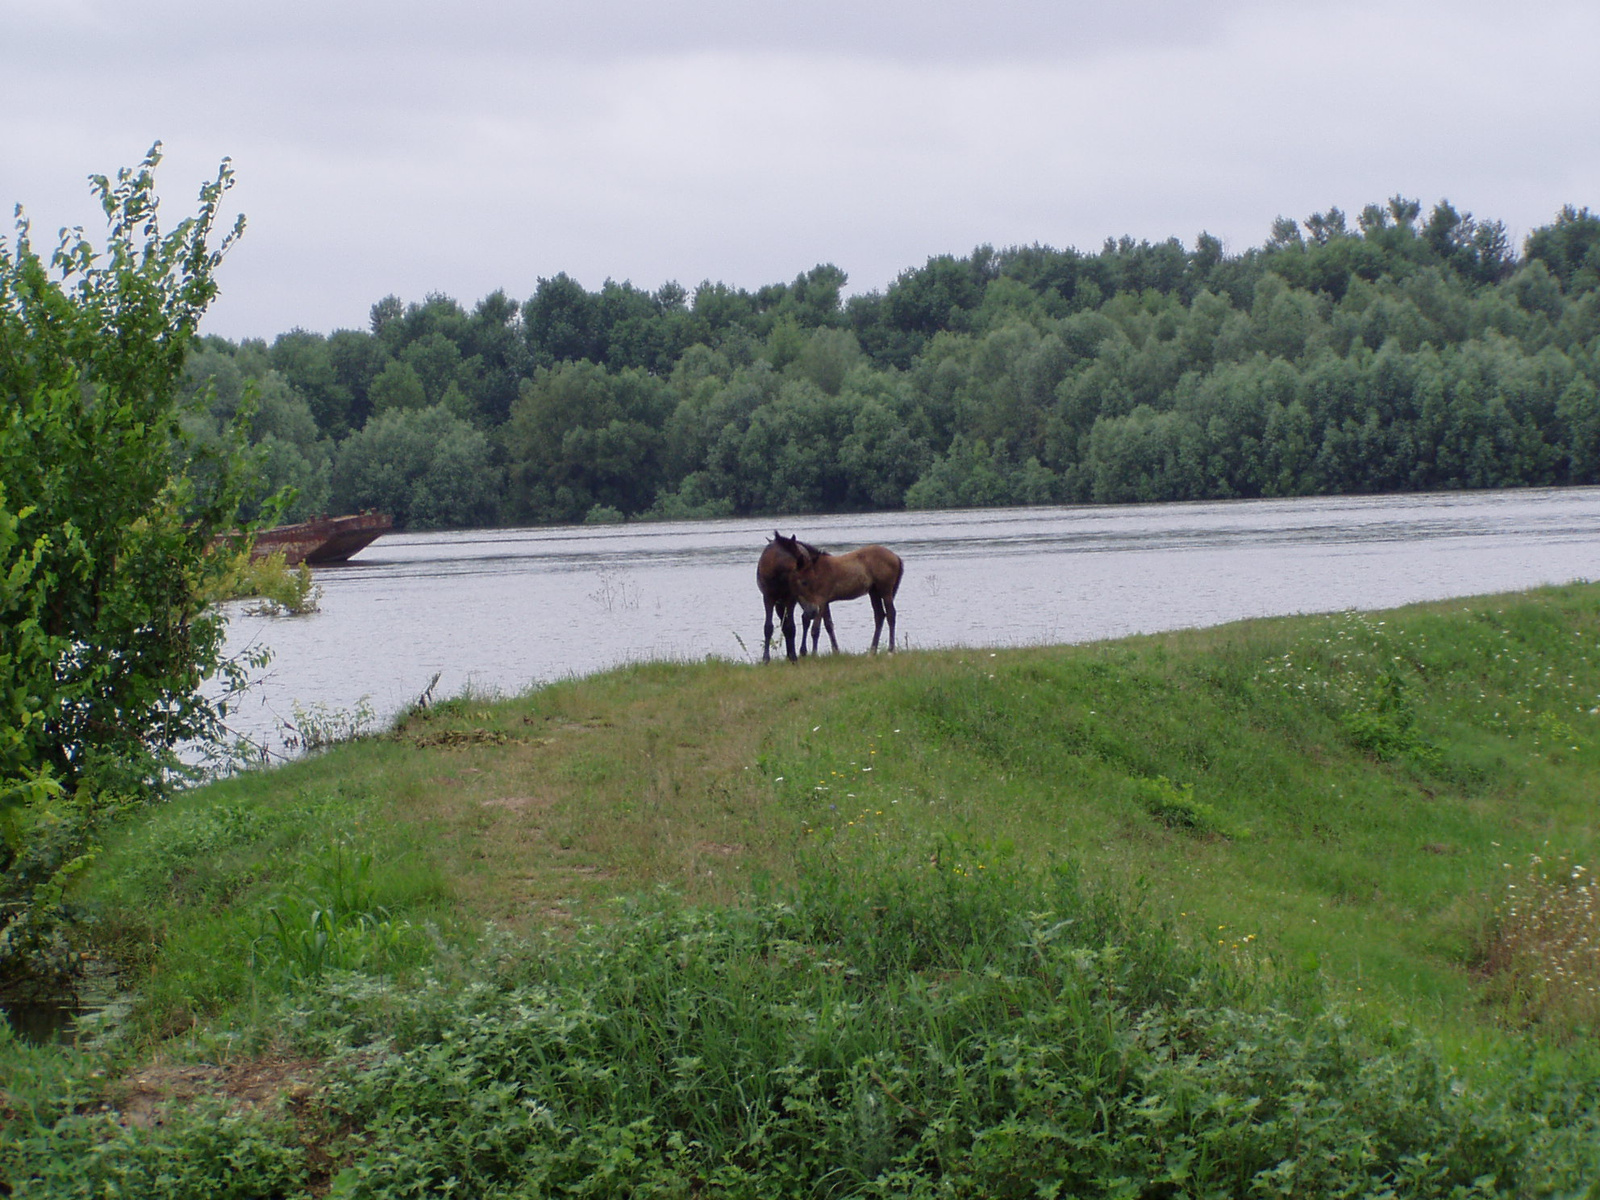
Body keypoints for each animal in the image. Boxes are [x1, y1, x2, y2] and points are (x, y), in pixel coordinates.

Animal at [752, 534, 819, 668]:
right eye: (804, 582)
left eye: (815, 579)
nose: (815, 610)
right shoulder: (768, 598)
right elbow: (768, 627)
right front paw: (765, 659)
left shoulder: (790, 598)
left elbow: (791, 627)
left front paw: (793, 657)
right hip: (780, 604)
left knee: (803, 620)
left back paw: (797, 652)